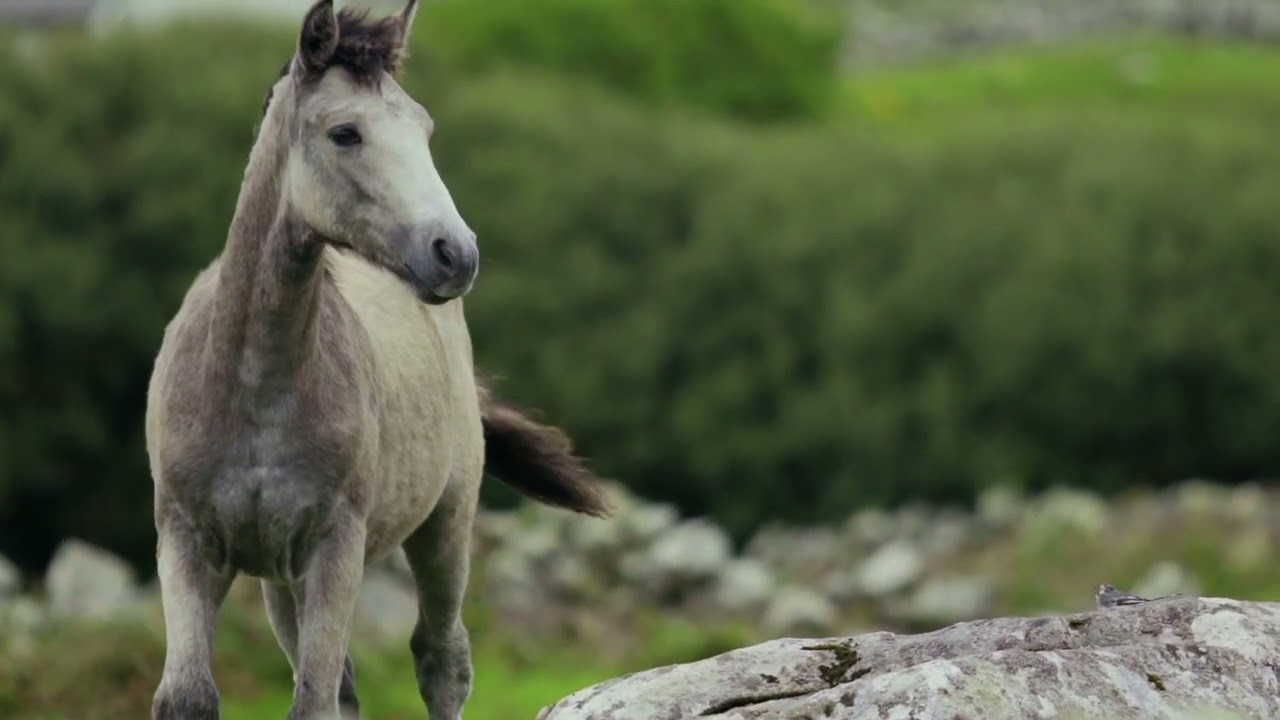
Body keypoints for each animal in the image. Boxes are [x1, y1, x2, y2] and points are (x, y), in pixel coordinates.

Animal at [142, 2, 612, 718]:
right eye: (345, 133)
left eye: (424, 127)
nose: (455, 254)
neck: (255, 387)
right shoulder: (187, 540)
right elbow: (192, 695)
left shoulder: (336, 547)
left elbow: (313, 699)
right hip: (279, 579)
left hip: (445, 523)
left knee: (441, 660)